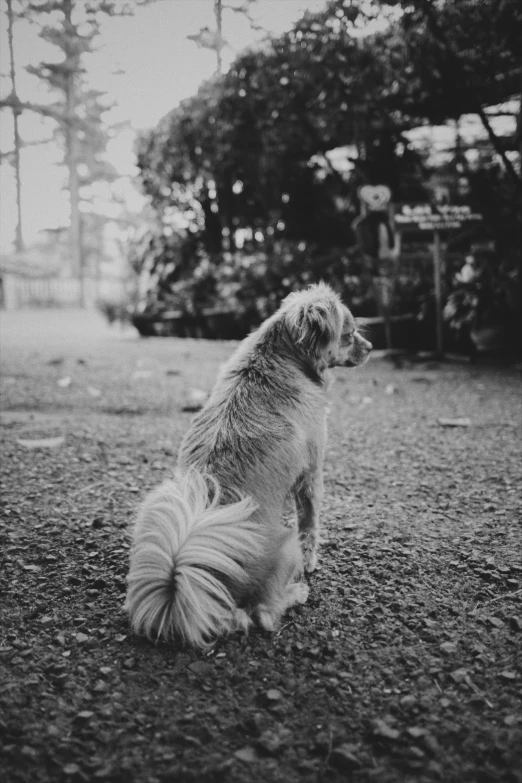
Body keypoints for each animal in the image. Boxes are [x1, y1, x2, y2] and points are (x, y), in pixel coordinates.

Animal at [124, 284, 372, 648]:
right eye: (349, 334)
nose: (371, 347)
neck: (282, 356)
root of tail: (182, 599)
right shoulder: (312, 475)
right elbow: (310, 525)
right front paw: (312, 562)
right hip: (286, 549)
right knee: (263, 612)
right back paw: (296, 592)